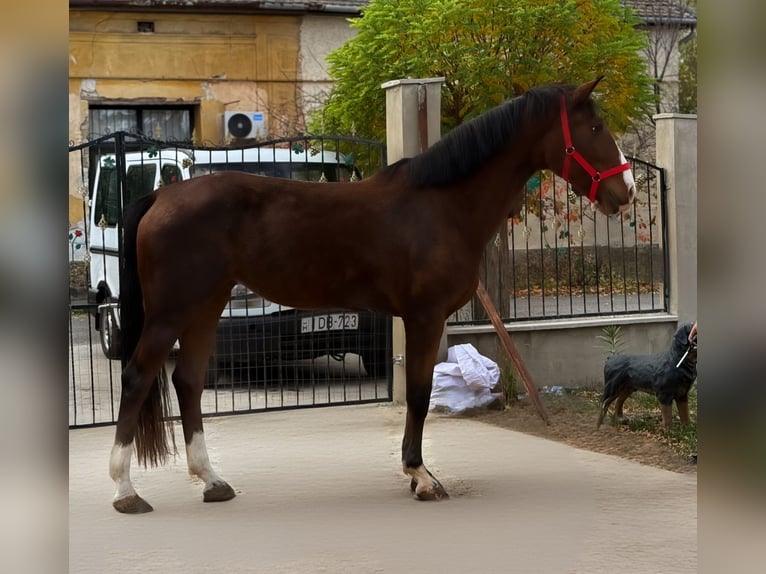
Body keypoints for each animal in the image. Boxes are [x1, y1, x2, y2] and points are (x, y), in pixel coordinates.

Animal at [110, 78, 636, 513]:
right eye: (594, 126)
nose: (626, 191)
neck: (442, 206)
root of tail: (161, 196)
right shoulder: (425, 317)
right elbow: (420, 394)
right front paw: (421, 477)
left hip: (206, 306)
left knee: (188, 382)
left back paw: (212, 481)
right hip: (172, 312)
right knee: (137, 378)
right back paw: (125, 491)